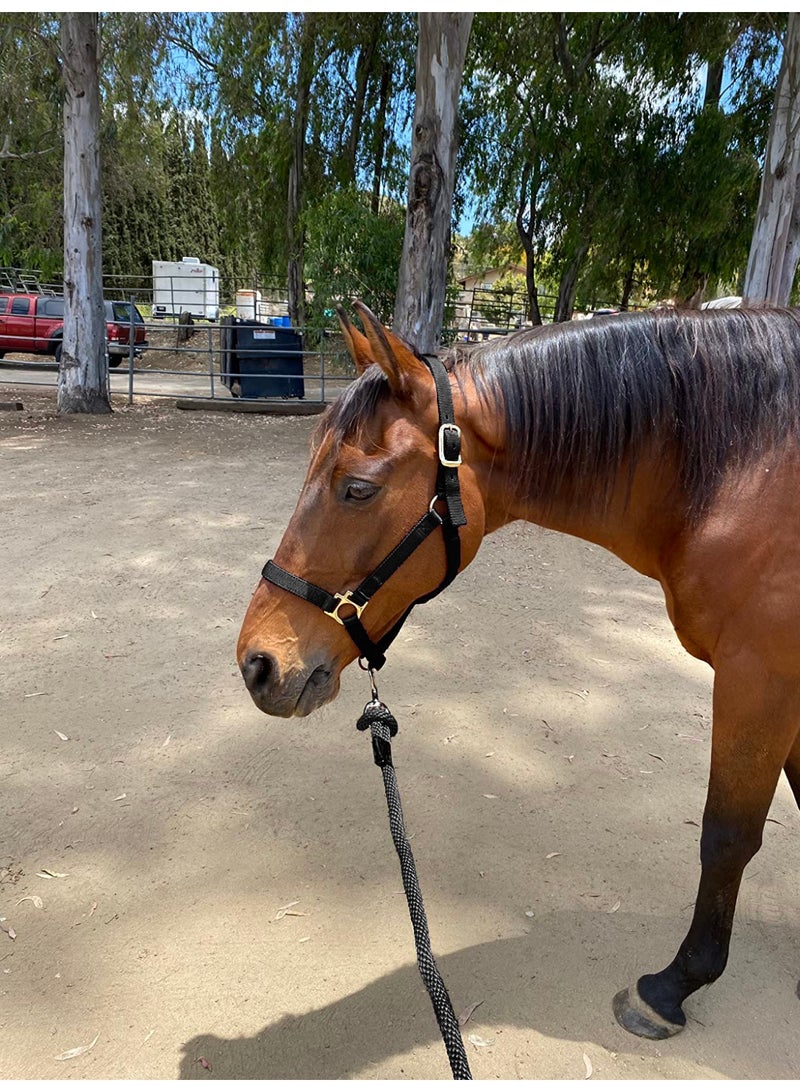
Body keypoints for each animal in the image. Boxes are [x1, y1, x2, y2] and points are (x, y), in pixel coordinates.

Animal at [237, 301, 800, 1042]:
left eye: (358, 488)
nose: (257, 663)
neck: (744, 475)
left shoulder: (759, 681)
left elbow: (727, 835)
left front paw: (673, 985)